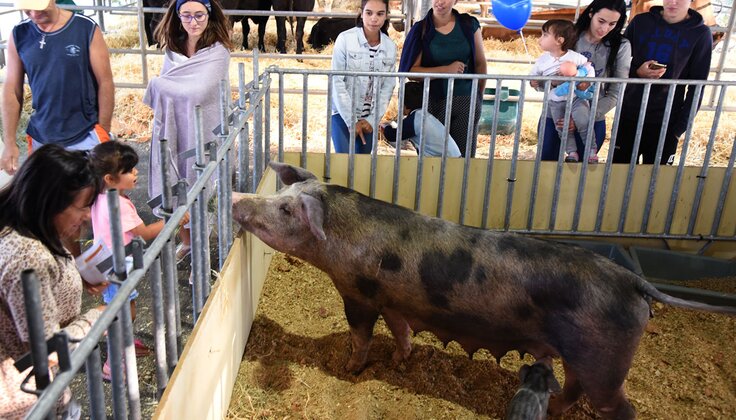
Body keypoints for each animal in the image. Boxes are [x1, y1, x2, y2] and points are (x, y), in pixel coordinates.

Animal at [232, 162, 736, 420]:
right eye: (282, 194)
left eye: (285, 209)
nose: (238, 200)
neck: (344, 235)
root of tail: (634, 281)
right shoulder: (394, 299)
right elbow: (402, 330)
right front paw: (400, 361)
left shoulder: (359, 293)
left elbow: (361, 335)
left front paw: (349, 369)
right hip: (583, 356)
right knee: (573, 389)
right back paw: (555, 410)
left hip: (607, 362)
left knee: (619, 406)